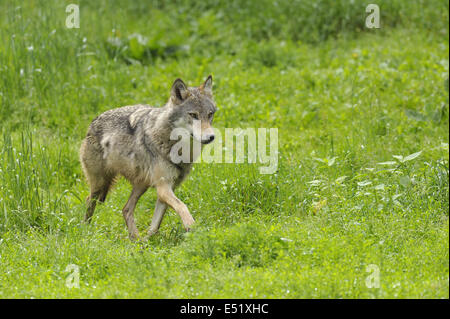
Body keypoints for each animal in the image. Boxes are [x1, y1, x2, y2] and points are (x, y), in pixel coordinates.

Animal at [79, 75, 216, 240]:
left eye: (210, 114)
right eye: (193, 115)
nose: (211, 137)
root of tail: (93, 122)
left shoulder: (169, 188)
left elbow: (156, 224)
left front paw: (149, 240)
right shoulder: (163, 188)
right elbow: (182, 206)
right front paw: (192, 226)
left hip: (140, 185)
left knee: (126, 209)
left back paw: (136, 239)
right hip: (99, 184)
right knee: (89, 200)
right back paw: (86, 231)